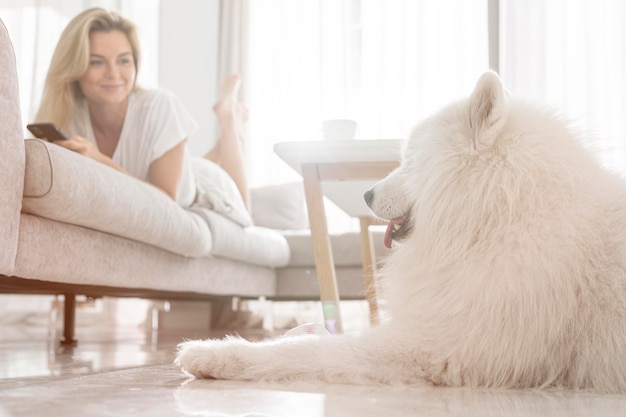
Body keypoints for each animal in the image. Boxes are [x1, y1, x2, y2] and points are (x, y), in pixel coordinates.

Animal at [176, 70, 624, 392]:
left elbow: (310, 350)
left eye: (409, 161)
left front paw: (212, 354)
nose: (366, 194)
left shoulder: (436, 346)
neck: (504, 213)